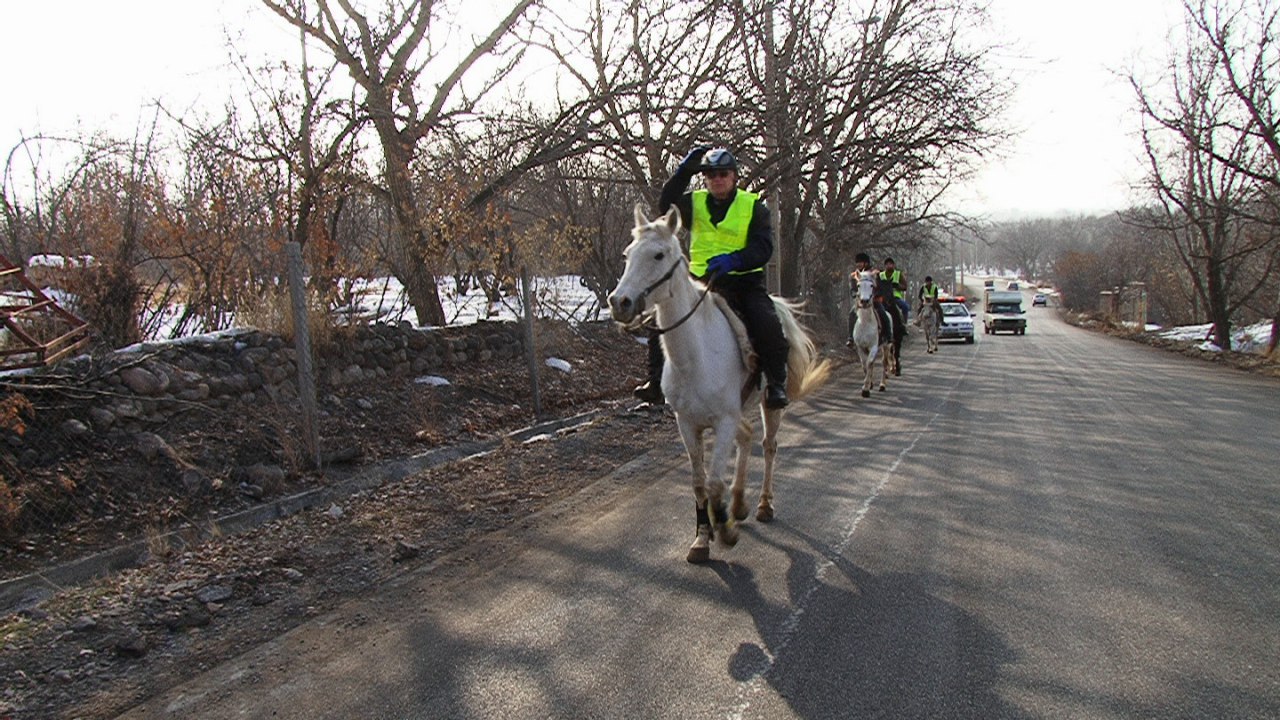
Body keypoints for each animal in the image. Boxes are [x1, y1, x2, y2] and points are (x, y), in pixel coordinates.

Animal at [606, 204, 829, 563]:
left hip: (768, 403)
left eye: (659, 254)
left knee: (768, 445)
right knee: (748, 437)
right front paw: (702, 537)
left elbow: (713, 483)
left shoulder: (723, 421)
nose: (619, 303)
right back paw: (738, 505)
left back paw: (763, 505)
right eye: (628, 254)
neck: (694, 357)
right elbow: (700, 483)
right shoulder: (687, 423)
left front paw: (724, 530)